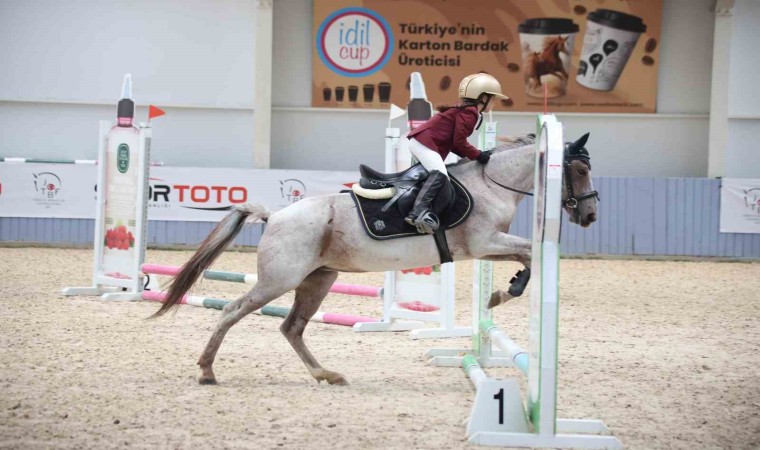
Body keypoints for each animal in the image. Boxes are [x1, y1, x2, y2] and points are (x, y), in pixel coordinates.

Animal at [151, 132, 599, 386]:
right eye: (578, 170)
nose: (591, 216)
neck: (491, 185)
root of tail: (275, 215)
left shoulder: (489, 245)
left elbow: (529, 256)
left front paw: (504, 291)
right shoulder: (483, 242)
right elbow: (532, 252)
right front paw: (502, 294)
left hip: (319, 279)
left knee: (292, 327)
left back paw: (325, 374)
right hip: (278, 280)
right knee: (231, 311)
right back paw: (207, 371)